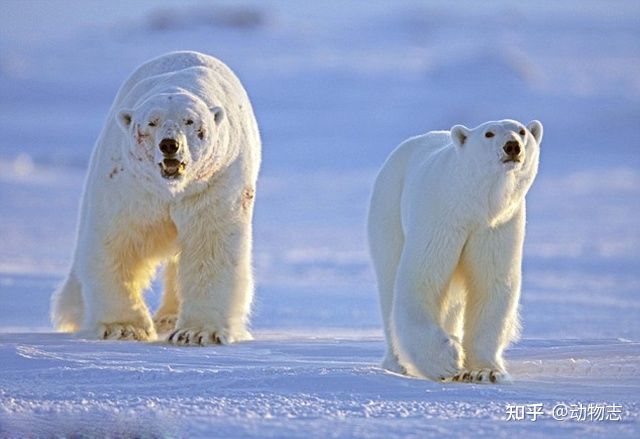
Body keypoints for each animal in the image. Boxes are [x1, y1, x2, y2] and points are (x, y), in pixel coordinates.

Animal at [50, 52, 260, 348]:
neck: (171, 188)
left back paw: (169, 318)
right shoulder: (130, 185)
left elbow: (211, 246)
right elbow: (119, 240)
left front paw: (197, 333)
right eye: (152, 122)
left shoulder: (215, 182)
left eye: (190, 122)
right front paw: (122, 328)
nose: (170, 145)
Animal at [368, 118, 544, 384]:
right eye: (489, 133)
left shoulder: (496, 225)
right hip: (388, 212)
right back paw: (397, 363)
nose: (512, 146)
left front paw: (486, 371)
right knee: (389, 283)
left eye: (522, 131)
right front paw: (447, 358)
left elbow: (490, 285)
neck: (475, 203)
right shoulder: (442, 216)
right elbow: (423, 278)